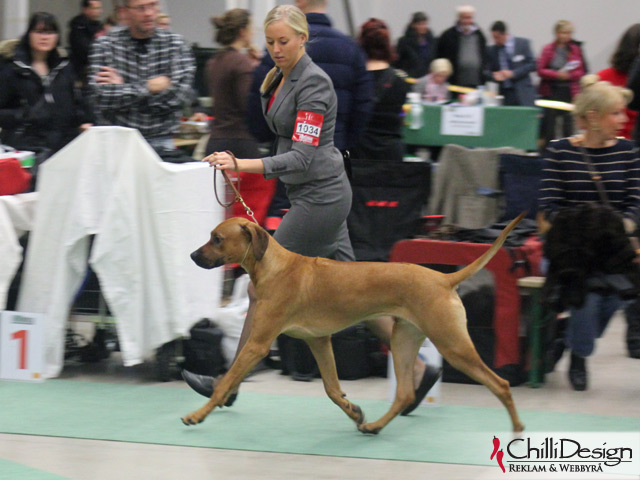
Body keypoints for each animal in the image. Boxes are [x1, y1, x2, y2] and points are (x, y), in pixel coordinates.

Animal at [180, 215, 524, 436]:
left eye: (217, 239)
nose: (192, 255)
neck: (274, 266)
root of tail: (444, 278)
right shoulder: (319, 341)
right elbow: (333, 390)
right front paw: (354, 411)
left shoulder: (258, 343)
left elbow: (225, 382)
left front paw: (197, 415)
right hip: (403, 340)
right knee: (405, 394)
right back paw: (375, 425)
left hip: (453, 344)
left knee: (501, 384)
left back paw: (517, 429)